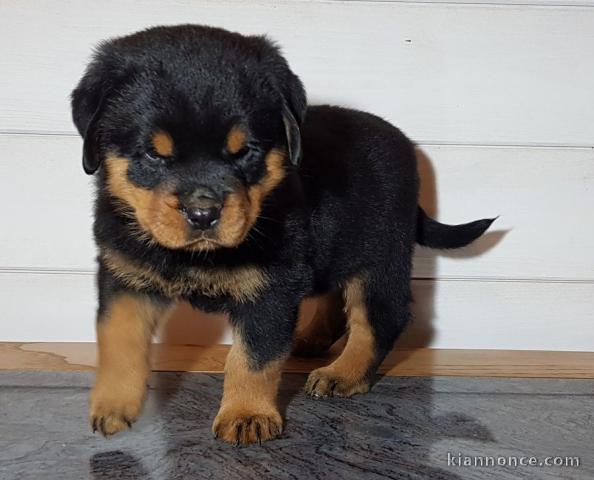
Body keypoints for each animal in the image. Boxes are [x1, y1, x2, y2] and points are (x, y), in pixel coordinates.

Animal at [71, 24, 492, 446]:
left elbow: (253, 357)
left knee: (380, 318)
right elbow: (117, 337)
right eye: (153, 154)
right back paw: (309, 341)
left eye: (245, 151)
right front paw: (113, 405)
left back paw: (343, 374)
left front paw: (247, 415)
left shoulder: (271, 289)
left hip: (380, 257)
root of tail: (407, 146)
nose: (203, 214)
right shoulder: (124, 275)